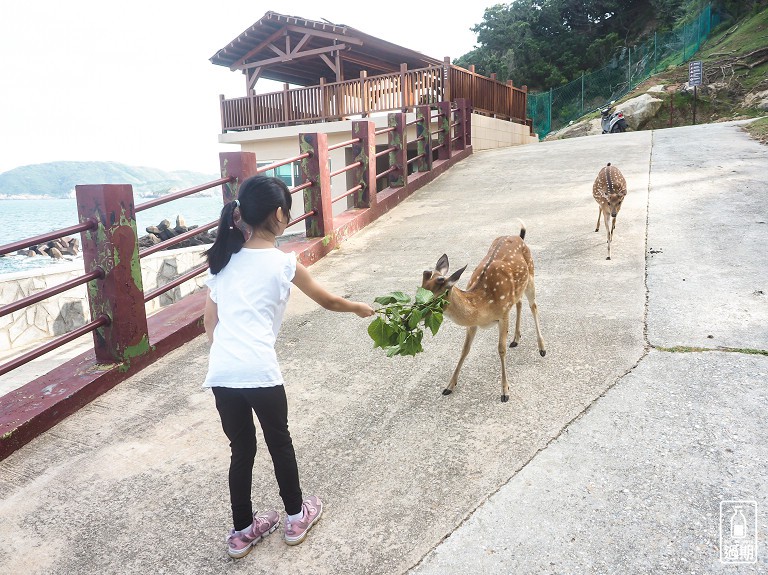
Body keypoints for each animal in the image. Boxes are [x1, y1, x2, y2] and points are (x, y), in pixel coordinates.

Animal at [420, 222, 544, 404]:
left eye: (434, 299)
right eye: (417, 291)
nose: (407, 319)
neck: (483, 305)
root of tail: (519, 237)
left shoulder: (503, 314)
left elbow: (501, 349)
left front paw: (505, 392)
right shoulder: (473, 324)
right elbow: (464, 349)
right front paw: (449, 386)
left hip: (531, 276)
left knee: (533, 306)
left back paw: (542, 348)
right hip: (517, 290)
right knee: (520, 303)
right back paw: (515, 339)